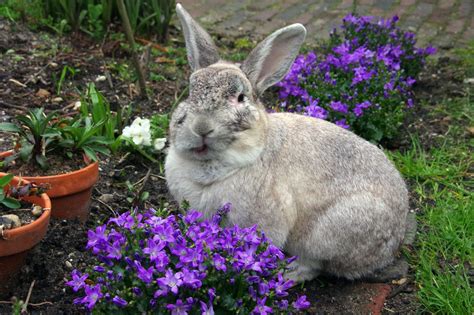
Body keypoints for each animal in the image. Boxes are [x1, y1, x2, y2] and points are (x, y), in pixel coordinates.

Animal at [165, 3, 410, 284]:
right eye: (190, 92)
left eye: (240, 97)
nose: (202, 127)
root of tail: (392, 244)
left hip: (324, 235)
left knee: (314, 265)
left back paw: (288, 274)